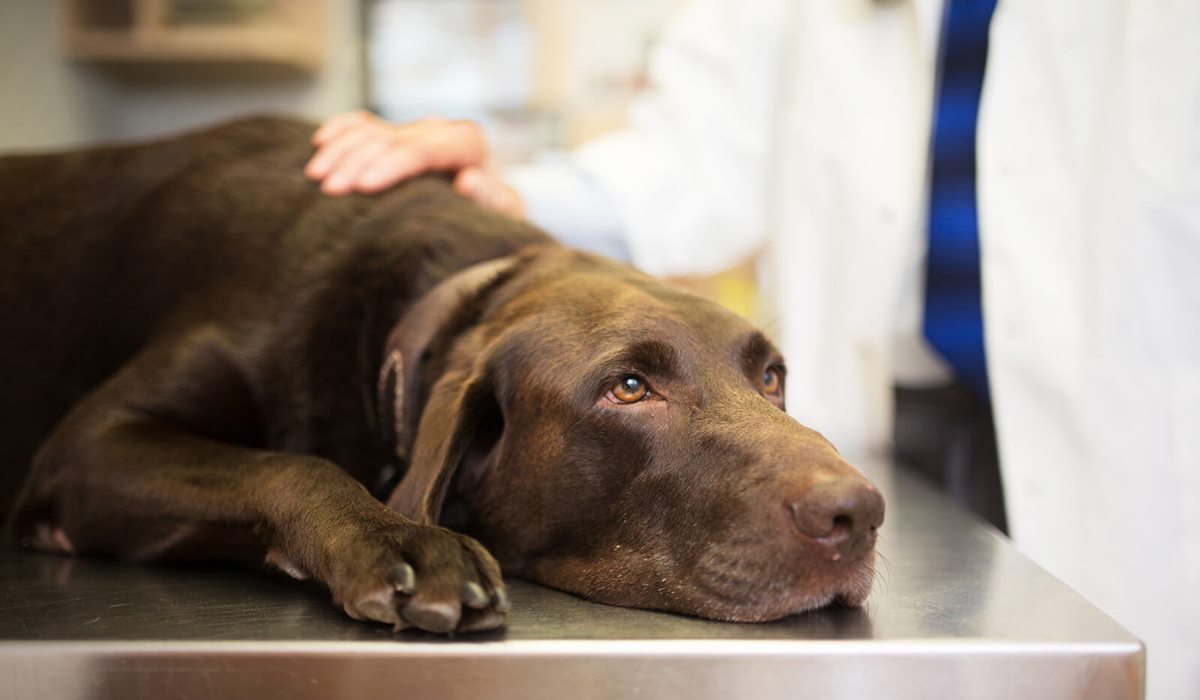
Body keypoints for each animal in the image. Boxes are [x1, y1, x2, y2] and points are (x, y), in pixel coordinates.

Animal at [0, 116, 883, 633]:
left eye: (772, 378)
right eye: (629, 388)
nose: (859, 513)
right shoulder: (86, 450)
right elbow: (296, 466)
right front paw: (404, 541)